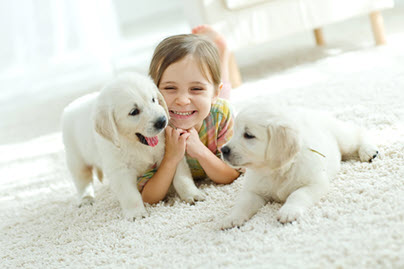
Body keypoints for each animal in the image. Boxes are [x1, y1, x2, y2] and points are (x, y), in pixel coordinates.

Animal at [62, 71, 205, 220]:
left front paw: (192, 194)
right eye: (134, 112)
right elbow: (130, 194)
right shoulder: (120, 170)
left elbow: (181, 177)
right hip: (76, 158)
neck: (134, 144)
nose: (162, 121)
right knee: (82, 180)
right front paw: (136, 213)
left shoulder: (171, 152)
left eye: (153, 100)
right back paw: (86, 198)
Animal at [219, 101, 378, 227]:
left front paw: (288, 211)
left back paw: (368, 151)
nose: (223, 150)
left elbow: (298, 194)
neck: (276, 170)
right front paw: (232, 218)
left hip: (343, 138)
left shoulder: (315, 183)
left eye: (249, 135)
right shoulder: (253, 190)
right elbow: (243, 203)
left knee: (359, 133)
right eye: (234, 132)